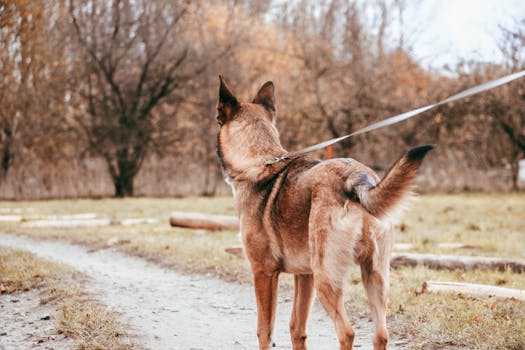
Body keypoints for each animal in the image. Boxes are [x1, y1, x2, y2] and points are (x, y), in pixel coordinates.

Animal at [215, 77, 432, 350]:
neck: (261, 161)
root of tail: (357, 177)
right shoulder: (304, 276)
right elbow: (296, 329)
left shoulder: (264, 274)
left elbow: (265, 332)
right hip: (374, 277)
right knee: (381, 335)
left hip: (326, 278)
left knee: (347, 332)